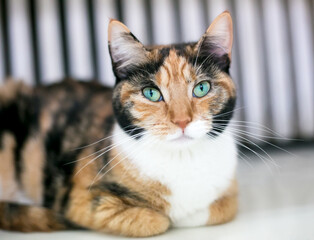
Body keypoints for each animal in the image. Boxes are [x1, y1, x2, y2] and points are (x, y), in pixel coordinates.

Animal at [0, 10, 236, 236]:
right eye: (151, 93)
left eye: (201, 88)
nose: (182, 121)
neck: (182, 159)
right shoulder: (81, 199)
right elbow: (156, 221)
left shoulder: (228, 192)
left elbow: (223, 208)